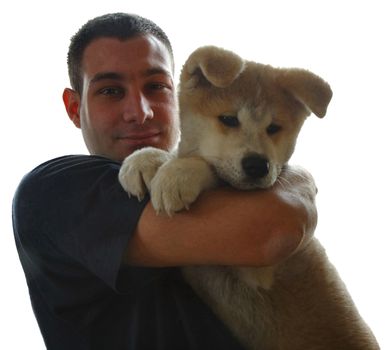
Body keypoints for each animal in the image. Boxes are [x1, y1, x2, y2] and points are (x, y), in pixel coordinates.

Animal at [119, 46, 378, 350]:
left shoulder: (258, 269)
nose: (257, 166)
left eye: (274, 128)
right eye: (229, 119)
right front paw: (145, 159)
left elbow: (212, 168)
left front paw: (178, 173)